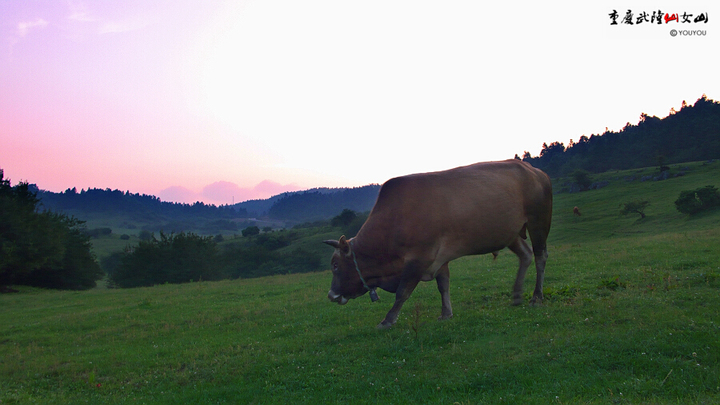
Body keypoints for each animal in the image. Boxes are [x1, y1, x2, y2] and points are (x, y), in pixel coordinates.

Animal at [324, 159, 556, 326]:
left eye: (335, 265)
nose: (331, 295)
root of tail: (533, 170)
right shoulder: (439, 259)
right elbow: (443, 286)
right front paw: (446, 313)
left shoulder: (419, 259)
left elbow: (402, 292)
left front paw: (388, 320)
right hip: (511, 233)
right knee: (525, 255)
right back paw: (517, 294)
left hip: (538, 222)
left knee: (540, 256)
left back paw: (536, 297)